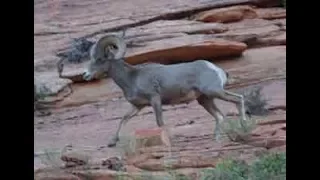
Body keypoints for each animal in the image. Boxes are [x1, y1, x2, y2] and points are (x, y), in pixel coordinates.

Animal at [83, 34, 248, 148]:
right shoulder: (138, 106)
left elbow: (160, 122)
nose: (85, 75)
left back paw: (244, 125)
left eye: (100, 59)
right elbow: (123, 119)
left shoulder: (155, 100)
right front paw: (112, 142)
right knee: (219, 116)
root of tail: (216, 69)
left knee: (238, 98)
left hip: (215, 92)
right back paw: (217, 139)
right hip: (205, 99)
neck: (132, 78)